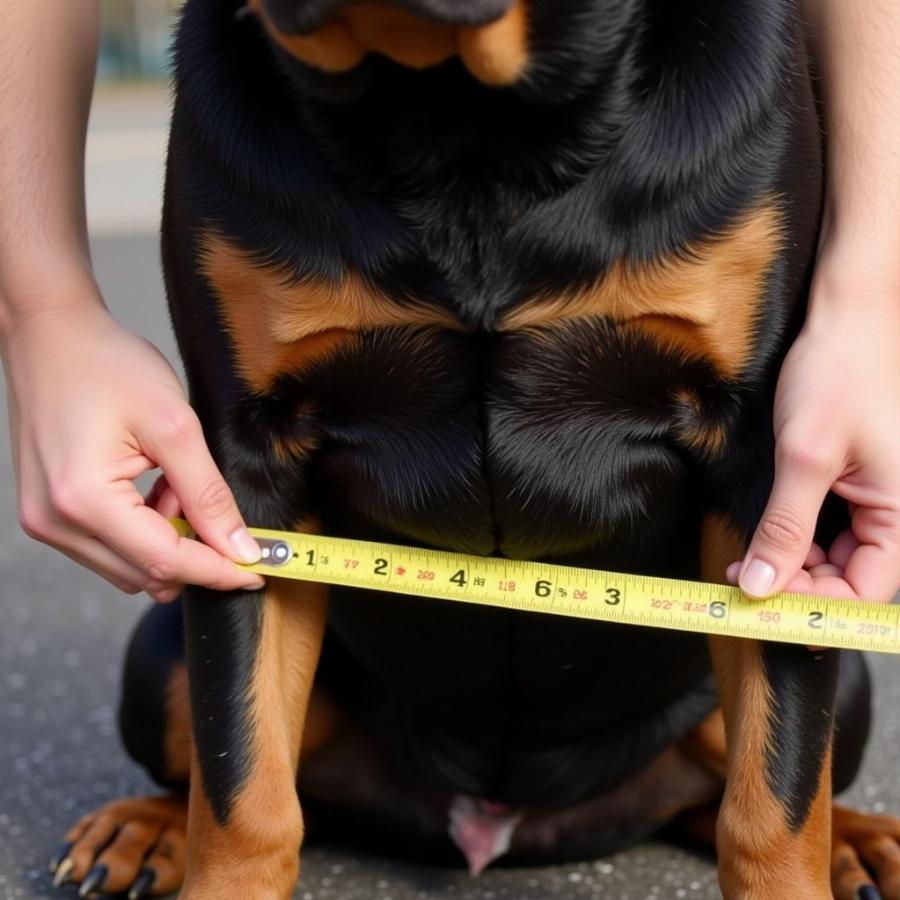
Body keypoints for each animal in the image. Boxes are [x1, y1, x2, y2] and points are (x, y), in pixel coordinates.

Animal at [51, 1, 900, 900]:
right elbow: (239, 780)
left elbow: (775, 798)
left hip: (850, 671)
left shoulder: (768, 473)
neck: (463, 121)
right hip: (157, 658)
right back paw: (141, 829)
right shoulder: (246, 476)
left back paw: (860, 840)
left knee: (732, 789)